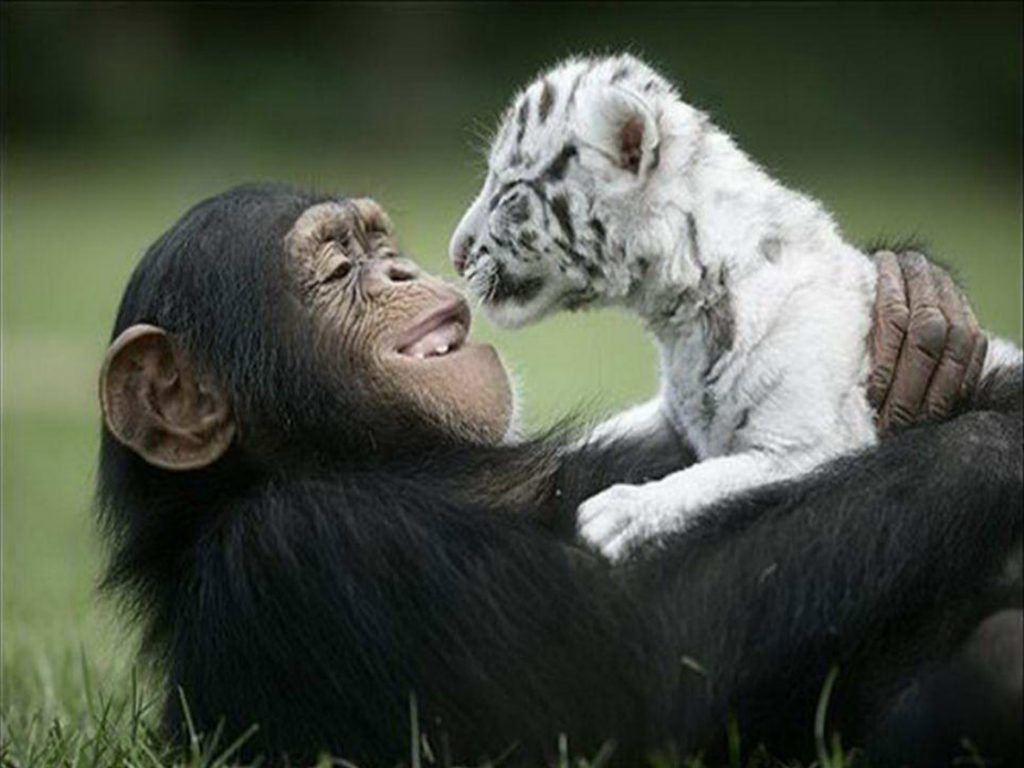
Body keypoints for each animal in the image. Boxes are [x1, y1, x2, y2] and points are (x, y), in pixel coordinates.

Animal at [96, 183, 1024, 765]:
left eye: (377, 243)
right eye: (335, 268)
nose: (402, 270)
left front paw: (916, 309)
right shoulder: (305, 550)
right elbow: (633, 685)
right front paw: (996, 435)